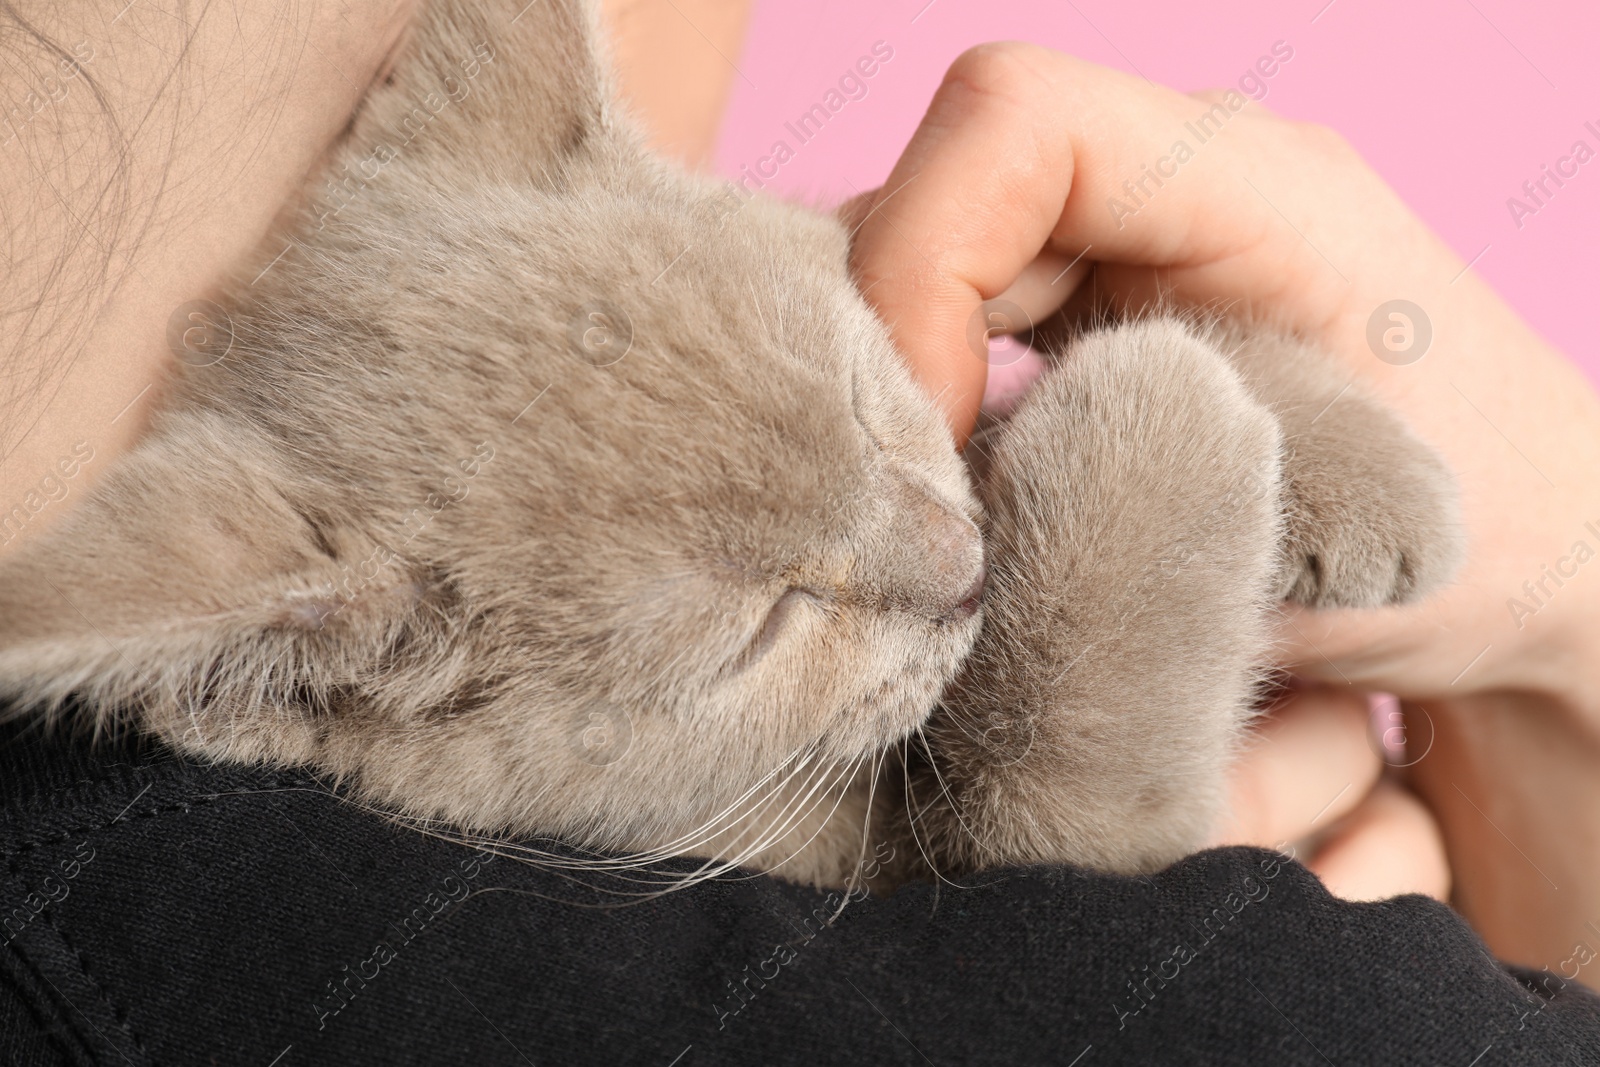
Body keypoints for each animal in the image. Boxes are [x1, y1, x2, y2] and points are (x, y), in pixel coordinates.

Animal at [0, 0, 1465, 895]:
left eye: (864, 394)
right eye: (760, 628)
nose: (964, 570)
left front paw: (1360, 466)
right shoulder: (968, 857)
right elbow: (1067, 798)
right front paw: (1165, 409)